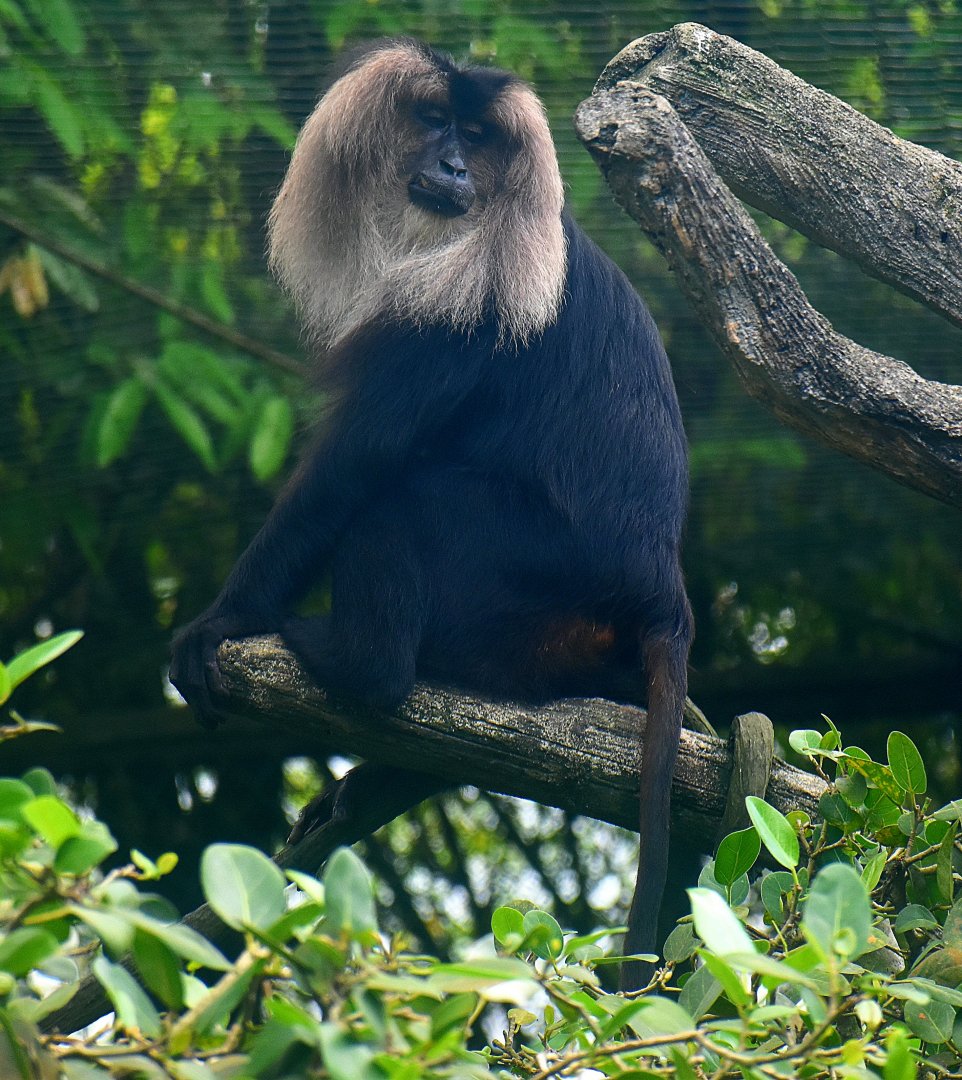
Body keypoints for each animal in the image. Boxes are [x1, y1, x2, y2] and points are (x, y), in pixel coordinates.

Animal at [169, 38, 692, 990]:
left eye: (477, 140)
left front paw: (224, 621)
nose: (453, 167)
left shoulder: (462, 301)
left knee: (401, 504)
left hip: (527, 570)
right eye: (435, 122)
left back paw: (347, 657)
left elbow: (357, 462)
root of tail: (663, 598)